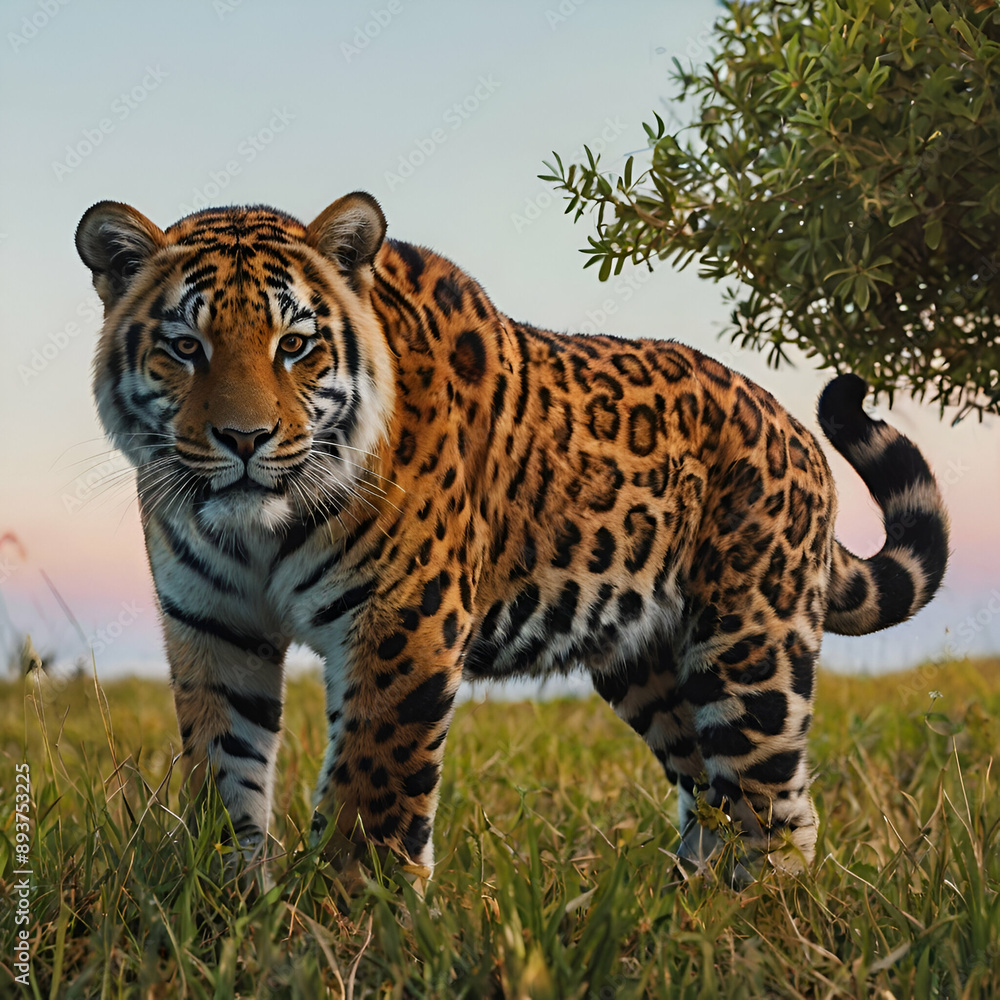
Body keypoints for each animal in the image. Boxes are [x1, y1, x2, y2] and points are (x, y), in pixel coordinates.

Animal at [75, 191, 948, 879]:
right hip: (650, 665)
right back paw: (684, 909)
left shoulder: (400, 618)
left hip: (748, 653)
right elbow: (223, 777)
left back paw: (748, 924)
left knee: (773, 811)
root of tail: (791, 426)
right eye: (185, 347)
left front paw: (343, 921)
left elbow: (370, 788)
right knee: (717, 796)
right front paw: (227, 906)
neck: (261, 534)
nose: (244, 439)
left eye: (295, 345)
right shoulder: (214, 629)